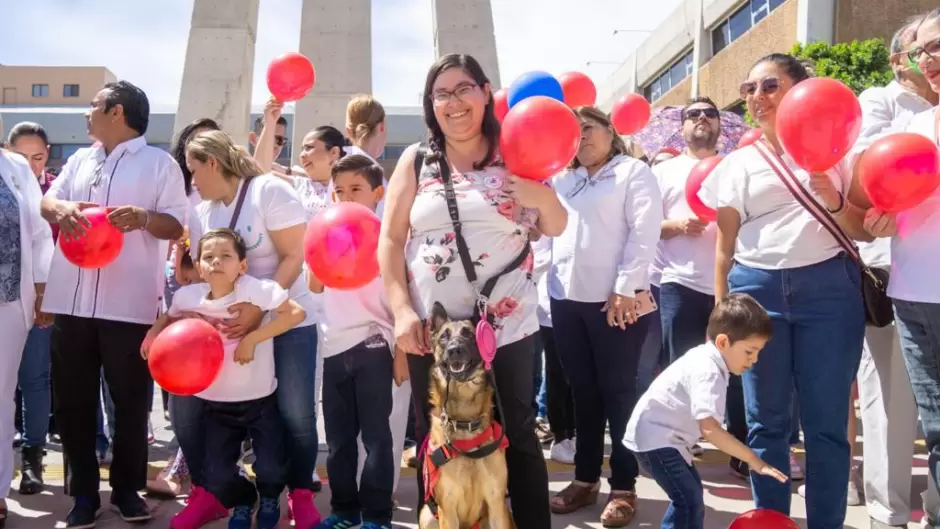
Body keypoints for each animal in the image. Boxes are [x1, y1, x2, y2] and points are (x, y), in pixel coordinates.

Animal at [418, 302, 516, 528]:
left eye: (469, 334)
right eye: (444, 337)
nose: (455, 350)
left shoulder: (496, 505)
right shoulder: (448, 510)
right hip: (427, 516)